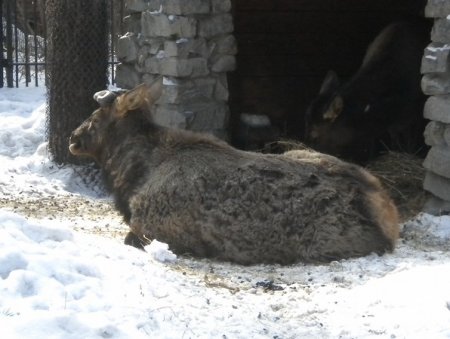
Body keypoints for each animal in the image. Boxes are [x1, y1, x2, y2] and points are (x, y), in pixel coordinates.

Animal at [68, 79, 400, 266]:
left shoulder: (153, 227)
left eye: (95, 115)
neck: (131, 176)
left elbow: (130, 238)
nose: (73, 137)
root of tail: (388, 213)